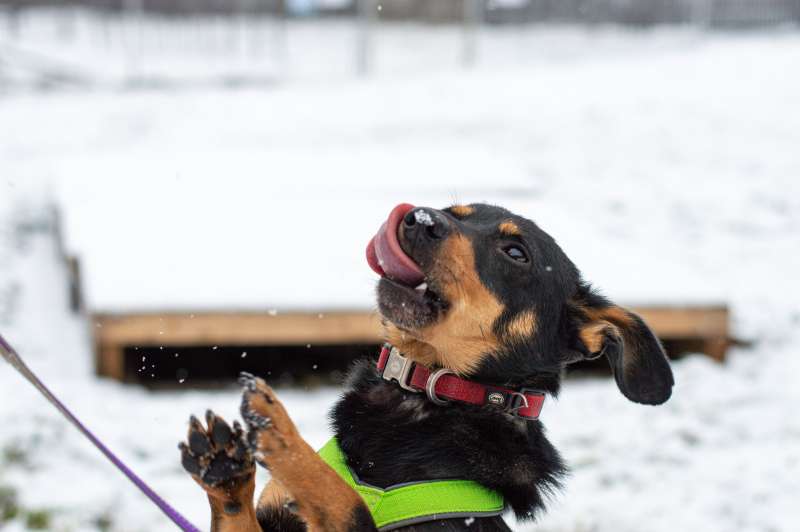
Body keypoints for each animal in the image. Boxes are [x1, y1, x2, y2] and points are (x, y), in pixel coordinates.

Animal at [178, 203, 674, 531]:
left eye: (516, 252)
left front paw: (281, 433)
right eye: (458, 211)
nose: (419, 217)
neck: (427, 392)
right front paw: (226, 471)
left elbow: (344, 498)